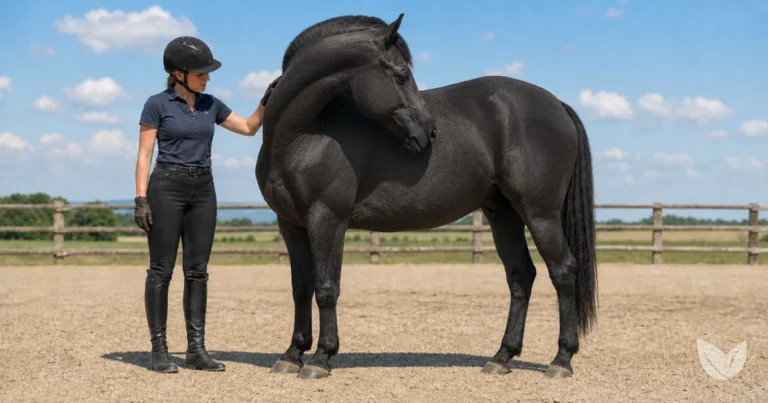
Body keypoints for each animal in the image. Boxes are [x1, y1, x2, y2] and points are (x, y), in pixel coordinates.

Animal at [255, 13, 598, 380]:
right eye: (402, 75)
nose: (429, 132)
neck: (304, 135)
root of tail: (557, 104)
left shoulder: (327, 218)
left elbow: (326, 287)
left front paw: (321, 357)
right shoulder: (291, 224)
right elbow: (301, 288)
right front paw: (292, 354)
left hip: (539, 214)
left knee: (563, 271)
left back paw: (561, 360)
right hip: (503, 215)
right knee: (521, 276)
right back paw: (501, 357)